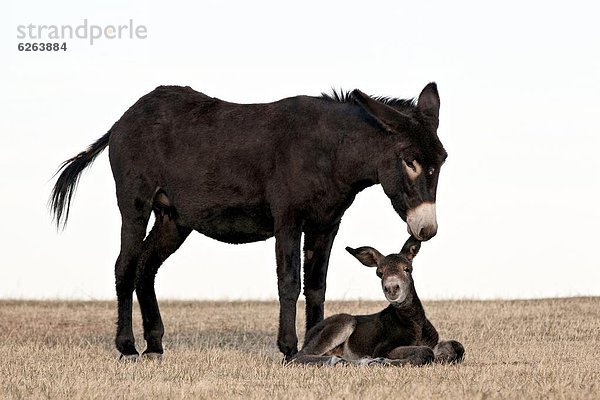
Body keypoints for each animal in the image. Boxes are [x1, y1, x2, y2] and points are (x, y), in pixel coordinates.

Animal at [290, 238, 464, 366]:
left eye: (407, 269)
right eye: (380, 273)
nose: (392, 288)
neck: (415, 323)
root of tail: (309, 334)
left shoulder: (435, 342)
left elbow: (457, 347)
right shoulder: (384, 347)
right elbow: (425, 352)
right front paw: (380, 361)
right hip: (345, 321)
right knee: (296, 357)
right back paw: (342, 361)